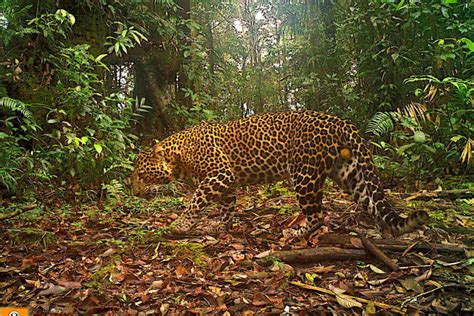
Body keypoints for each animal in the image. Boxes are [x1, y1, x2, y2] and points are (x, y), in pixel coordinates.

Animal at [131, 111, 430, 237]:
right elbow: (227, 208)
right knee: (371, 201)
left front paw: (180, 225)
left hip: (305, 175)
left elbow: (194, 203)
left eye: (140, 174)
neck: (179, 156)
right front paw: (222, 227)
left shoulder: (219, 176)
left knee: (318, 215)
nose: (134, 191)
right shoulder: (226, 184)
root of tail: (341, 122)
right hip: (349, 173)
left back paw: (296, 233)